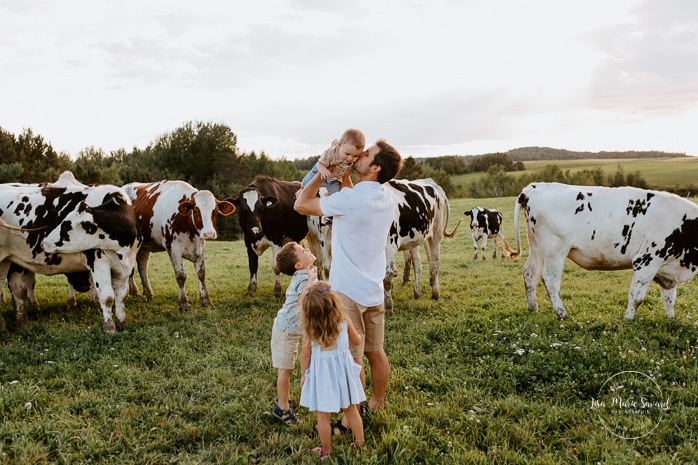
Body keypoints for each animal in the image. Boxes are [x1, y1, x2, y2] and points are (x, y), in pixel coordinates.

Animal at [0, 183, 140, 332]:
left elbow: (121, 296)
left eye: (66, 226)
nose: (43, 242)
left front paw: (122, 321)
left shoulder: (125, 267)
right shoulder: (99, 263)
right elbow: (107, 297)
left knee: (14, 287)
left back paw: (18, 322)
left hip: (8, 261)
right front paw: (109, 327)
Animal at [121, 179, 235, 310]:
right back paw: (134, 291)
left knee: (142, 267)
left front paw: (206, 301)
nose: (209, 234)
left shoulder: (200, 248)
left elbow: (201, 273)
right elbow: (181, 276)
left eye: (215, 211)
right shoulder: (173, 249)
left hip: (144, 245)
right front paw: (183, 303)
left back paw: (148, 293)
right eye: (196, 211)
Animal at [380, 179, 462, 314]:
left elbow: (386, 278)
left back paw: (435, 294)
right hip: (415, 239)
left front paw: (388, 308)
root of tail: (432, 182)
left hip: (435, 233)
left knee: (434, 262)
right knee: (418, 264)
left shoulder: (390, 244)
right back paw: (417, 293)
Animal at [508, 181, 696, 320]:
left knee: (530, 273)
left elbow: (669, 298)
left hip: (536, 247)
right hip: (555, 250)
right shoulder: (646, 261)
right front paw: (628, 319)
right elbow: (637, 297)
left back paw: (533, 309)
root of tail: (535, 186)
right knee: (550, 280)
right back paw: (562, 313)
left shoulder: (666, 266)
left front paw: (670, 319)